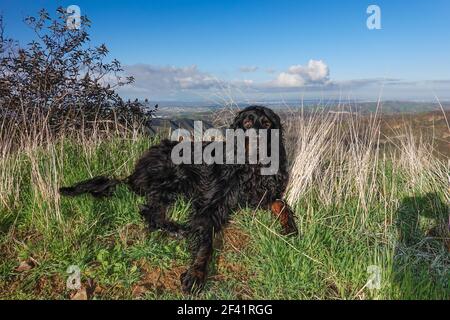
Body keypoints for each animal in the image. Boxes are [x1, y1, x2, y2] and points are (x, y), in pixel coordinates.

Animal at [59, 106, 298, 294]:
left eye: (267, 124)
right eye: (247, 122)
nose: (258, 141)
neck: (251, 168)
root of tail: (134, 172)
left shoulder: (264, 194)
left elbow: (282, 205)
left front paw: (291, 228)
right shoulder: (209, 206)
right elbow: (206, 242)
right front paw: (196, 275)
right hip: (175, 175)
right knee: (150, 211)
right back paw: (177, 229)